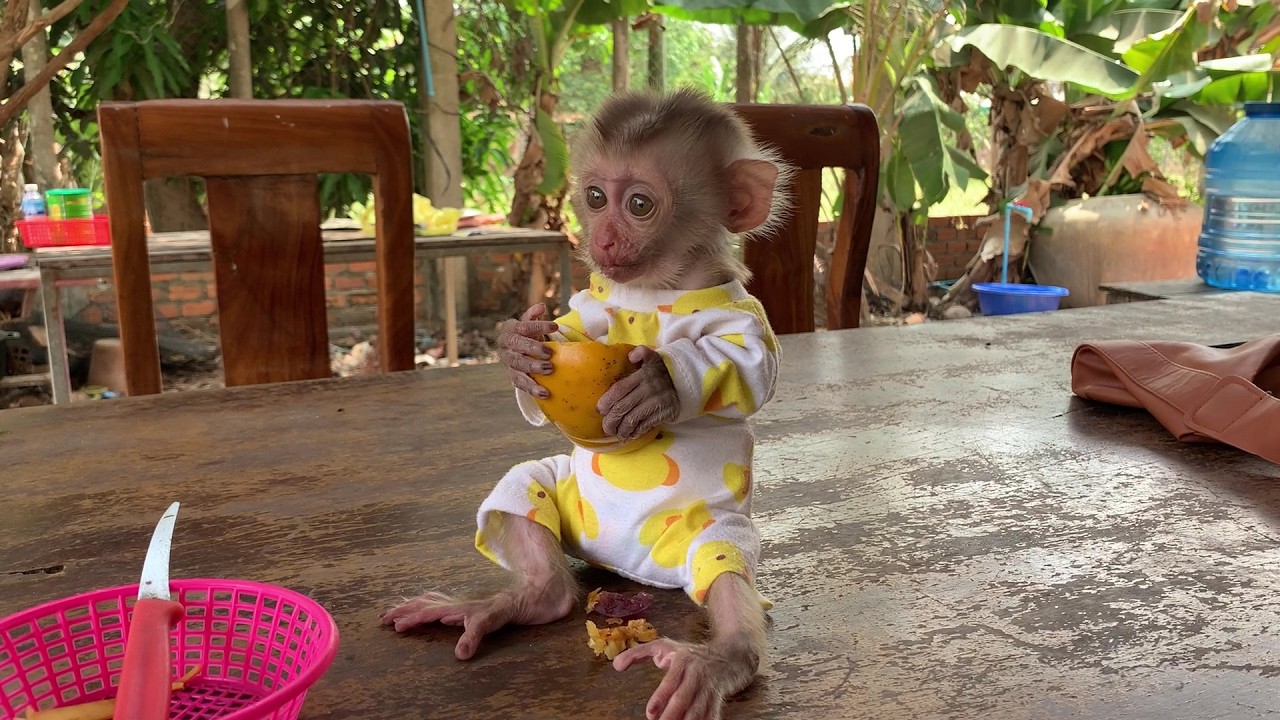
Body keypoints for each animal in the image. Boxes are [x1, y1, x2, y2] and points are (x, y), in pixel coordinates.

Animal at [382, 88, 792, 720]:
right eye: (596, 197)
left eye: (640, 204)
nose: (600, 240)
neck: (654, 289)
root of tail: (626, 567)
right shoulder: (585, 303)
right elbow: (566, 330)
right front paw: (517, 349)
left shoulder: (741, 309)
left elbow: (750, 364)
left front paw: (662, 383)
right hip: (567, 508)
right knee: (526, 489)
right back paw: (528, 597)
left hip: (701, 534)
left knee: (724, 562)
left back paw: (722, 659)